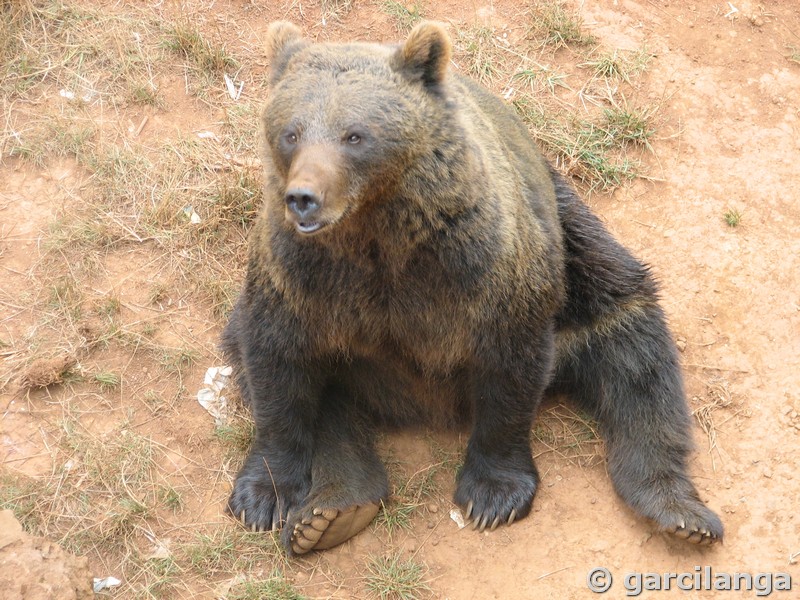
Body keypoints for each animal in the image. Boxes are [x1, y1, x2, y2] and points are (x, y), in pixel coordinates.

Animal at [220, 19, 724, 552]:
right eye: (291, 132)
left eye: (354, 135)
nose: (304, 198)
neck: (377, 233)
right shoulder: (300, 279)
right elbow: (276, 366)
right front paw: (262, 495)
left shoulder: (480, 268)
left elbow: (511, 368)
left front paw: (493, 494)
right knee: (328, 399)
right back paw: (333, 510)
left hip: (572, 236)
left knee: (631, 341)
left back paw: (678, 510)